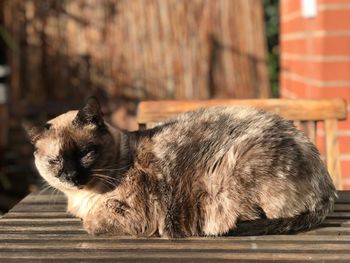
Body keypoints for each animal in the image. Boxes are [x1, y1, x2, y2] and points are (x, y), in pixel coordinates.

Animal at [24, 98, 336, 238]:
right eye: (55, 161)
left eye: (85, 153)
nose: (70, 175)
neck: (82, 197)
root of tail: (327, 187)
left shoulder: (130, 216)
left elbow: (90, 224)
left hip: (234, 170)